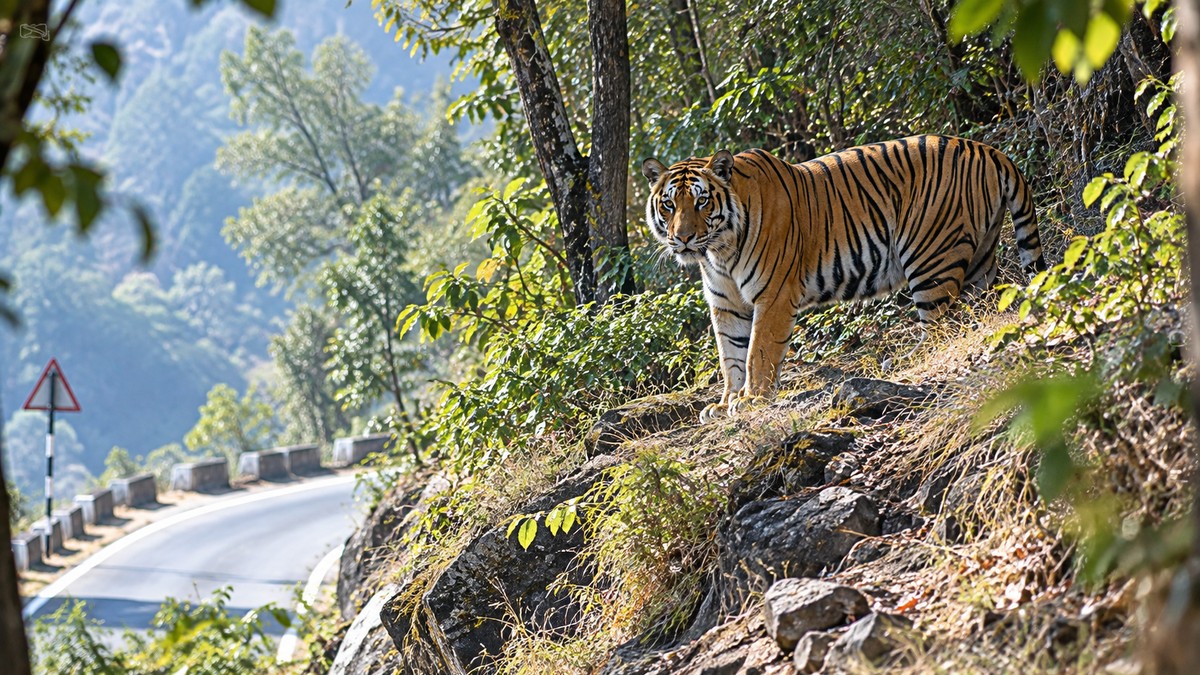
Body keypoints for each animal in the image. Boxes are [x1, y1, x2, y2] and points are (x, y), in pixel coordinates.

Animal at [642, 135, 1047, 422]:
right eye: (669, 205)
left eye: (701, 201)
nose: (682, 237)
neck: (719, 250)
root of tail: (989, 150)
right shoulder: (726, 305)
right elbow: (731, 356)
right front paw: (725, 401)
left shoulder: (772, 296)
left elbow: (758, 351)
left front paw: (751, 399)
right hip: (979, 259)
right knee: (979, 310)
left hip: (931, 255)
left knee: (940, 325)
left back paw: (907, 360)